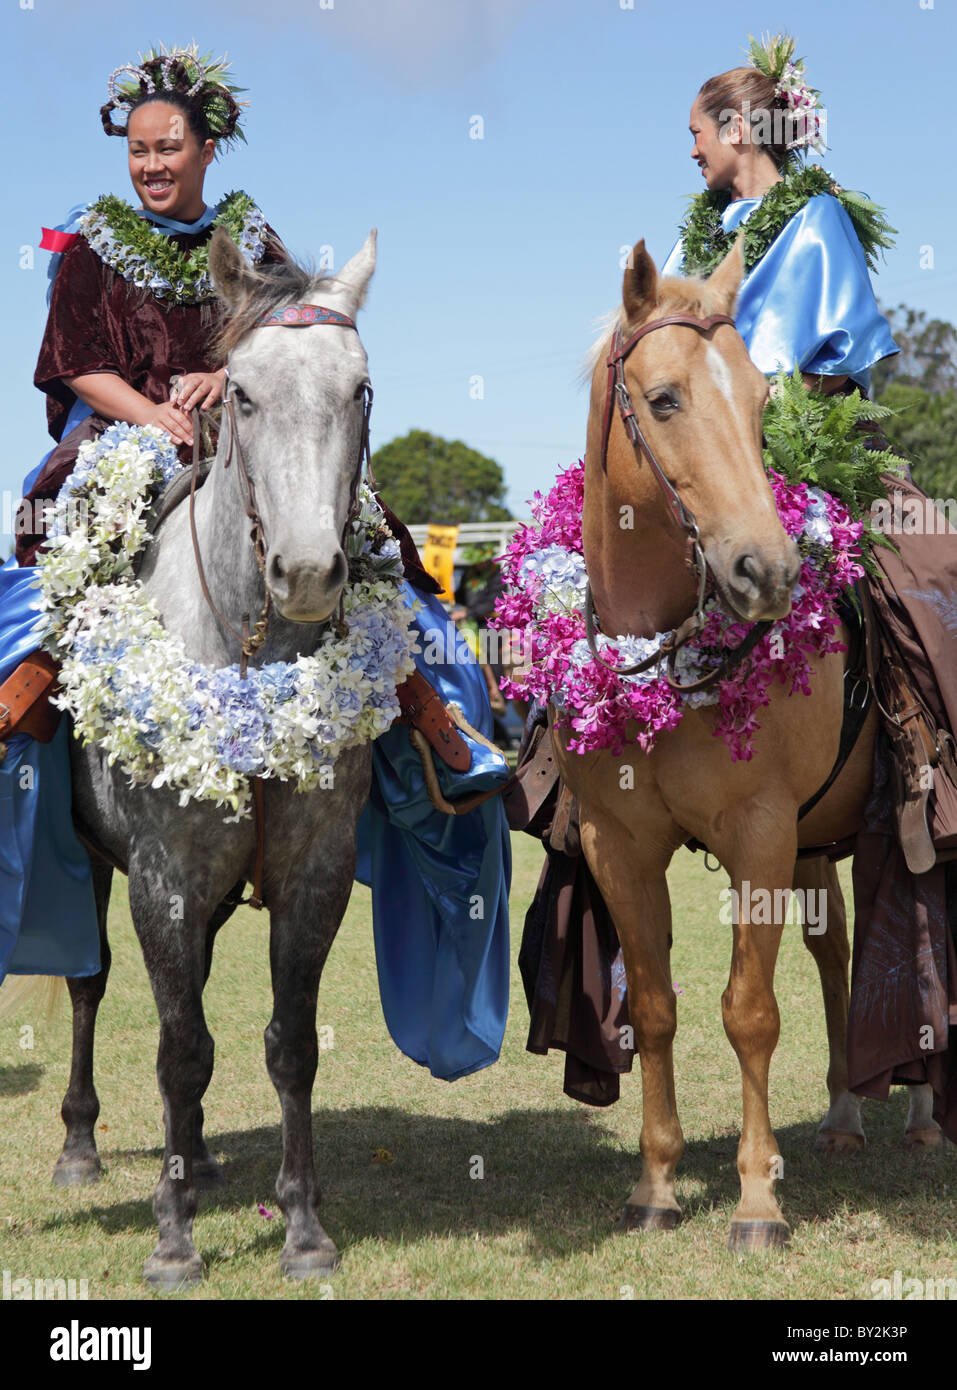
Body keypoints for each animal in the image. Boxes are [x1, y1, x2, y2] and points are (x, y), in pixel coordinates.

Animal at [58, 230, 378, 1289]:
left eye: (361, 388)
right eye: (238, 393)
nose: (309, 572)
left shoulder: (318, 872)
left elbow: (288, 1045)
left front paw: (303, 1227)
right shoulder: (162, 877)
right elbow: (178, 1051)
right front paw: (173, 1238)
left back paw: (193, 1156)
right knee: (92, 988)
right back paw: (83, 1146)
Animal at [553, 236, 934, 1251]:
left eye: (764, 400)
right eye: (664, 399)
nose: (766, 571)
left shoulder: (758, 833)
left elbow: (749, 1013)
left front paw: (758, 1200)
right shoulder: (619, 845)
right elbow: (653, 1009)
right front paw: (654, 1185)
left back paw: (924, 1117)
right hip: (822, 841)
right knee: (840, 953)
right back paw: (845, 1115)